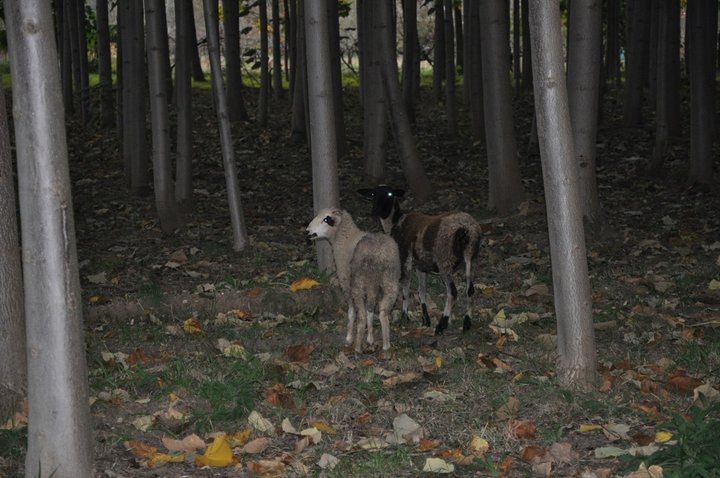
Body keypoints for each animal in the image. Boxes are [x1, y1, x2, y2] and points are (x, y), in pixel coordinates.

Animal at [306, 207, 402, 352]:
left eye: (326, 219)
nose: (308, 231)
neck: (345, 236)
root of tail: (379, 255)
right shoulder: (372, 285)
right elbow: (370, 308)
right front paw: (370, 338)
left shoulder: (345, 279)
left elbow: (351, 311)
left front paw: (349, 337)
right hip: (390, 281)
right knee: (383, 312)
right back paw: (386, 346)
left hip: (358, 283)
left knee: (361, 315)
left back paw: (357, 346)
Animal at [358, 185, 480, 334]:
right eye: (372, 194)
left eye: (390, 194)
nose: (374, 210)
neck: (395, 222)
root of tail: (466, 228)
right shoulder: (421, 265)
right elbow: (422, 291)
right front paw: (425, 319)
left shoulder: (405, 259)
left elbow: (405, 290)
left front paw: (404, 316)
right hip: (470, 258)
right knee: (470, 289)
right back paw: (467, 322)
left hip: (444, 260)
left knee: (452, 292)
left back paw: (442, 324)